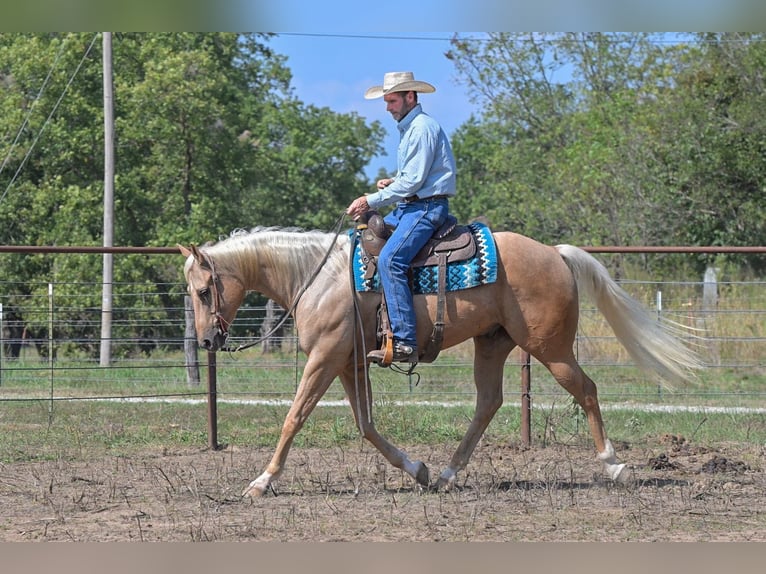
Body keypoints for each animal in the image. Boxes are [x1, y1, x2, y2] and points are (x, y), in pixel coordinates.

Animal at [179, 224, 701, 497]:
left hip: (551, 349)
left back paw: (614, 466)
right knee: (488, 402)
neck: (318, 277)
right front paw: (418, 470)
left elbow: (294, 417)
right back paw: (448, 474)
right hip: (493, 343)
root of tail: (554, 253)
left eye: (204, 291)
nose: (206, 340)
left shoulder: (325, 358)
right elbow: (366, 426)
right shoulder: (349, 364)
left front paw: (261, 482)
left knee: (586, 391)